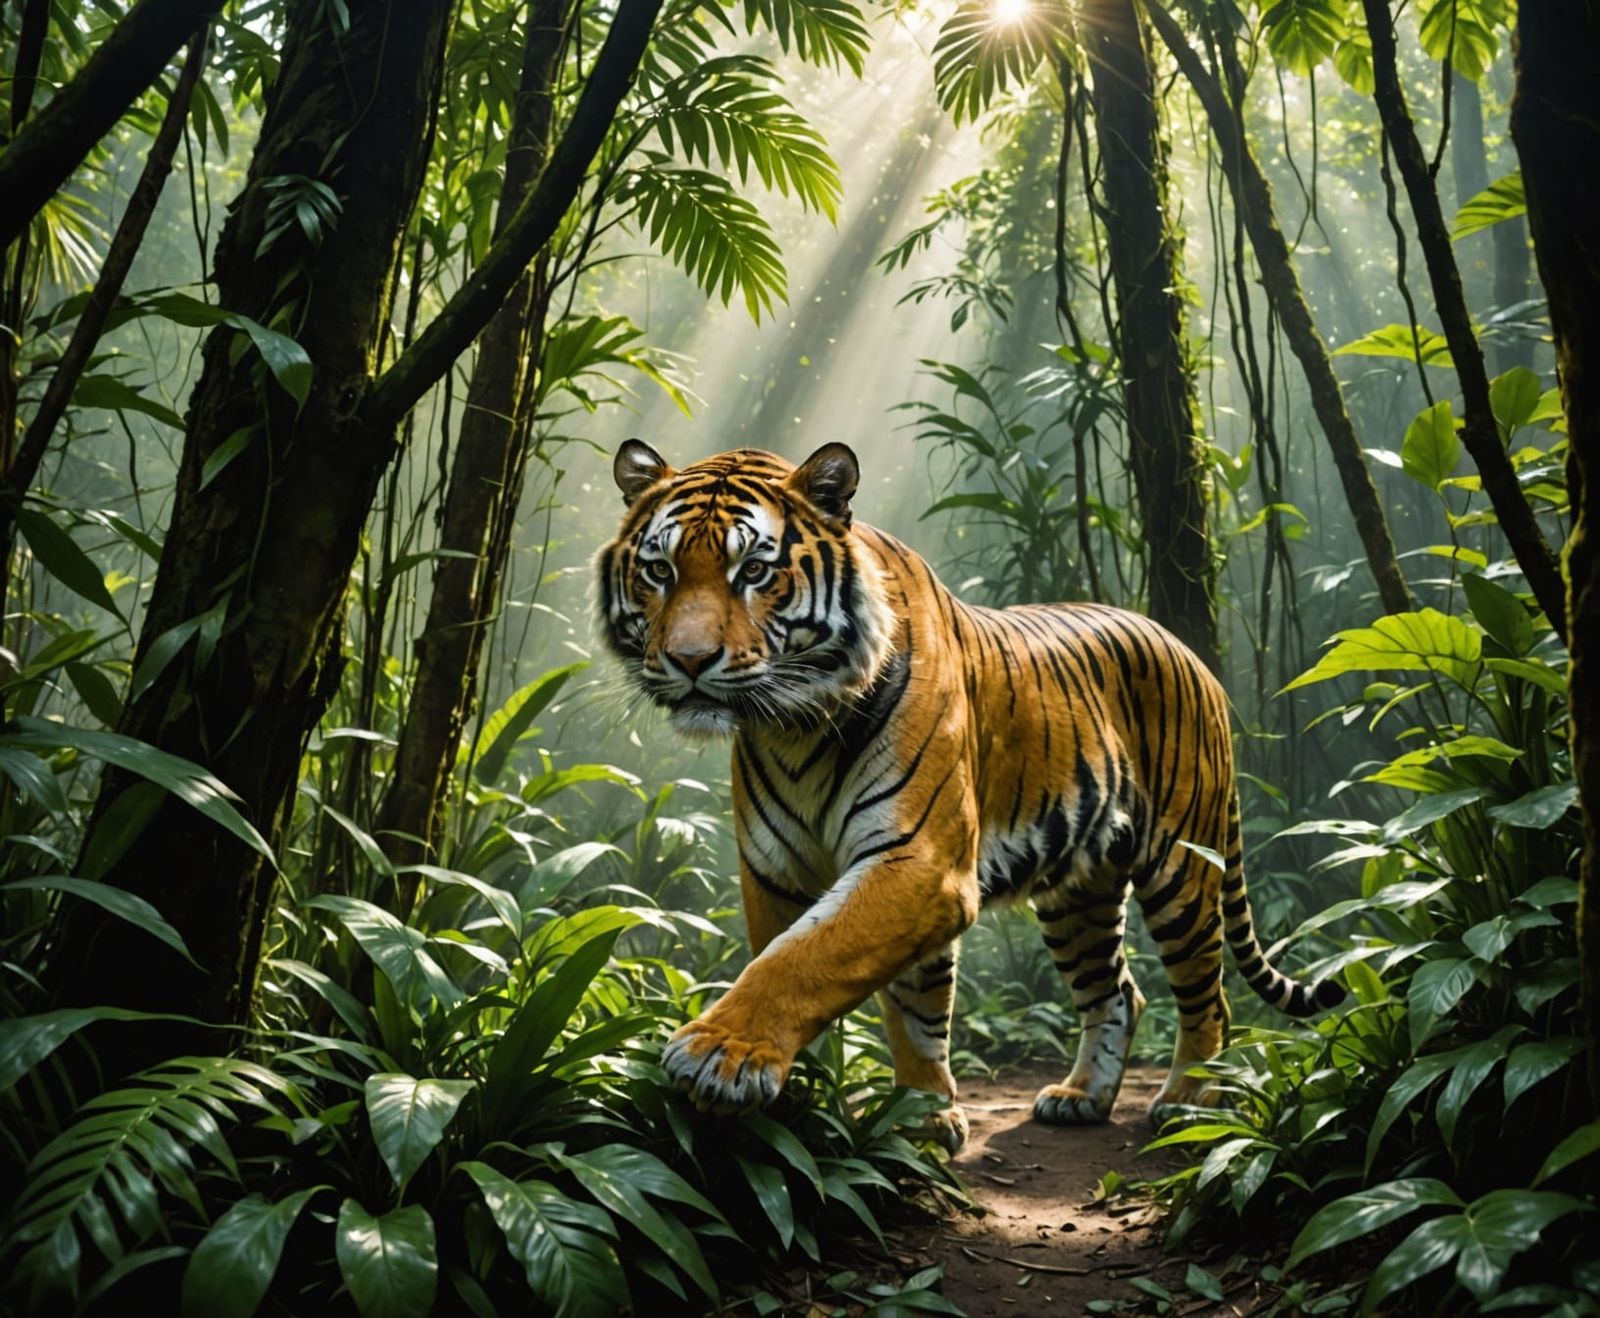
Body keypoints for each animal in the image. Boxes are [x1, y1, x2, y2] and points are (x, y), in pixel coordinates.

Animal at [595, 440, 1343, 1150]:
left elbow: (806, 960)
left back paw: (1190, 1100)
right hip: (1079, 892)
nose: (690, 661)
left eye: (753, 571)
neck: (796, 726)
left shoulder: (921, 862)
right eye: (659, 571)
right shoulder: (778, 873)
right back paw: (1082, 1097)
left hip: (1183, 866)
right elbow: (883, 992)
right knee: (1117, 992)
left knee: (1207, 993)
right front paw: (882, 1110)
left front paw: (718, 1057)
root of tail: (1189, 652)